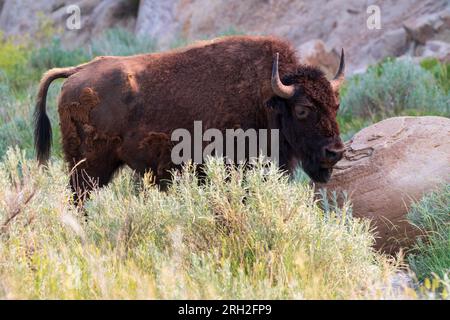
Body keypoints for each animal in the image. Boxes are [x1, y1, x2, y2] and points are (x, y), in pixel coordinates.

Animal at [35, 36, 344, 201]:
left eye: (336, 105)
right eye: (302, 109)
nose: (335, 152)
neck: (266, 96)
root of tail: (77, 72)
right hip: (88, 169)